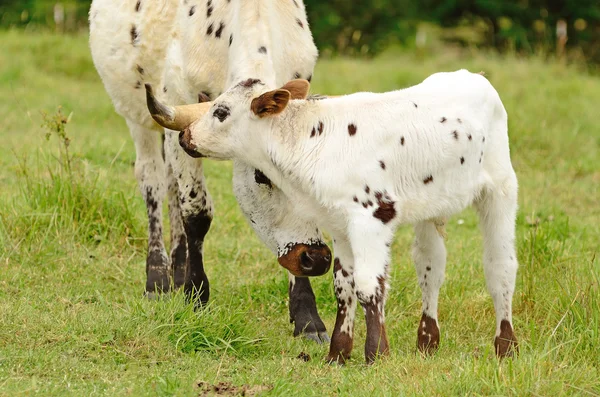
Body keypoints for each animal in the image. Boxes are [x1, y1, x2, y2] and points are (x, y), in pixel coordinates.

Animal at [88, 0, 332, 340]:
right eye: (262, 176)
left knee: (172, 185)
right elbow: (196, 212)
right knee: (153, 182)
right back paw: (158, 278)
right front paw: (196, 295)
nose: (317, 260)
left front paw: (308, 316)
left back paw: (178, 270)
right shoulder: (178, 103)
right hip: (137, 116)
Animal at [146, 70, 520, 362]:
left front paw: (377, 355)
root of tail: (474, 77)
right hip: (433, 205)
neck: (310, 141)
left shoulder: (372, 217)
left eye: (221, 112)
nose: (185, 136)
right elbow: (344, 286)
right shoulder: (338, 224)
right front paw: (338, 354)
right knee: (430, 266)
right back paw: (428, 342)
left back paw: (506, 347)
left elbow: (369, 286)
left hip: (501, 190)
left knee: (500, 266)